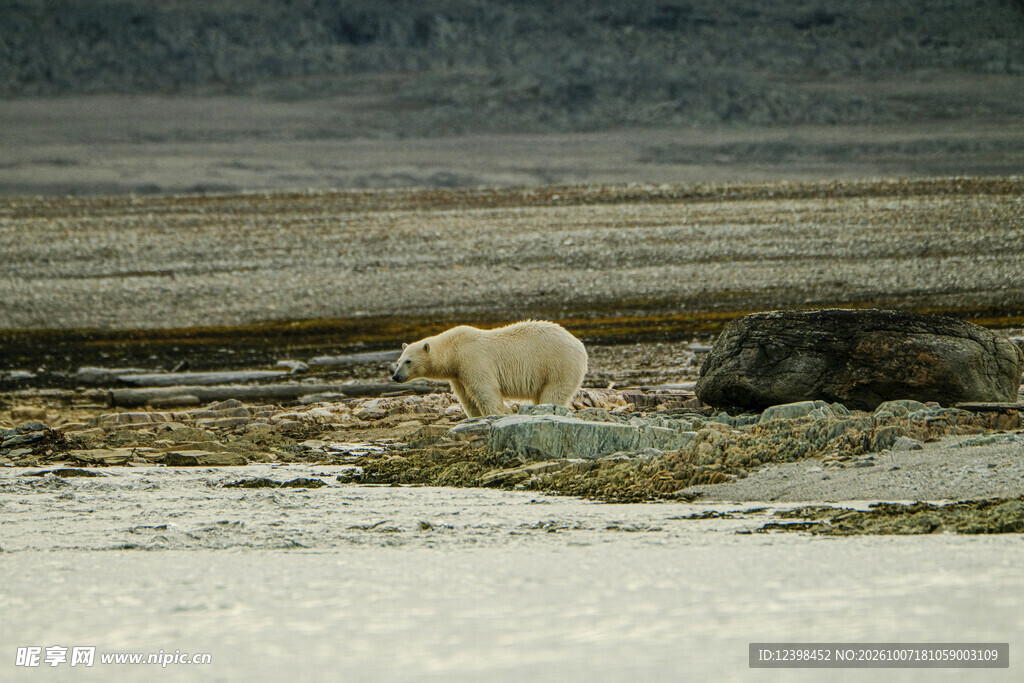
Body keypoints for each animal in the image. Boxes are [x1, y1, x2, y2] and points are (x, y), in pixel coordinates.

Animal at [390, 320, 588, 417]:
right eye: (398, 361)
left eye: (408, 361)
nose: (395, 377)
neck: (454, 349)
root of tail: (579, 345)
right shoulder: (458, 374)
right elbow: (467, 398)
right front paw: (475, 416)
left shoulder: (473, 360)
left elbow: (485, 390)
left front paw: (493, 414)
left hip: (558, 364)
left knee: (554, 392)